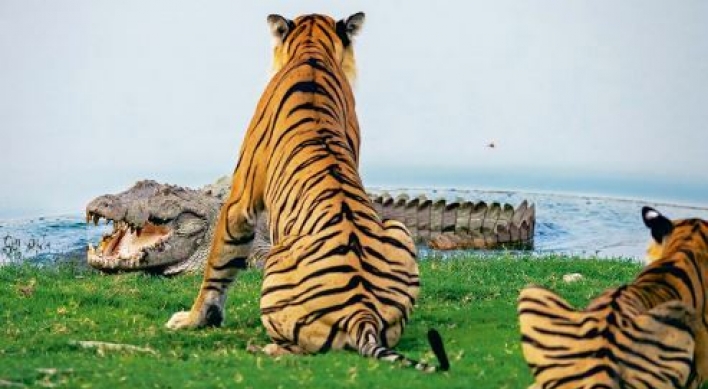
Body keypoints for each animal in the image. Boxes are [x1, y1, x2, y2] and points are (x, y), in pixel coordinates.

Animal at [166, 10, 448, 372]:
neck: (312, 49)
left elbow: (219, 264)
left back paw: (264, 348)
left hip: (276, 261)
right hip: (398, 230)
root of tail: (362, 314)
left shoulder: (239, 200)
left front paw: (193, 319)